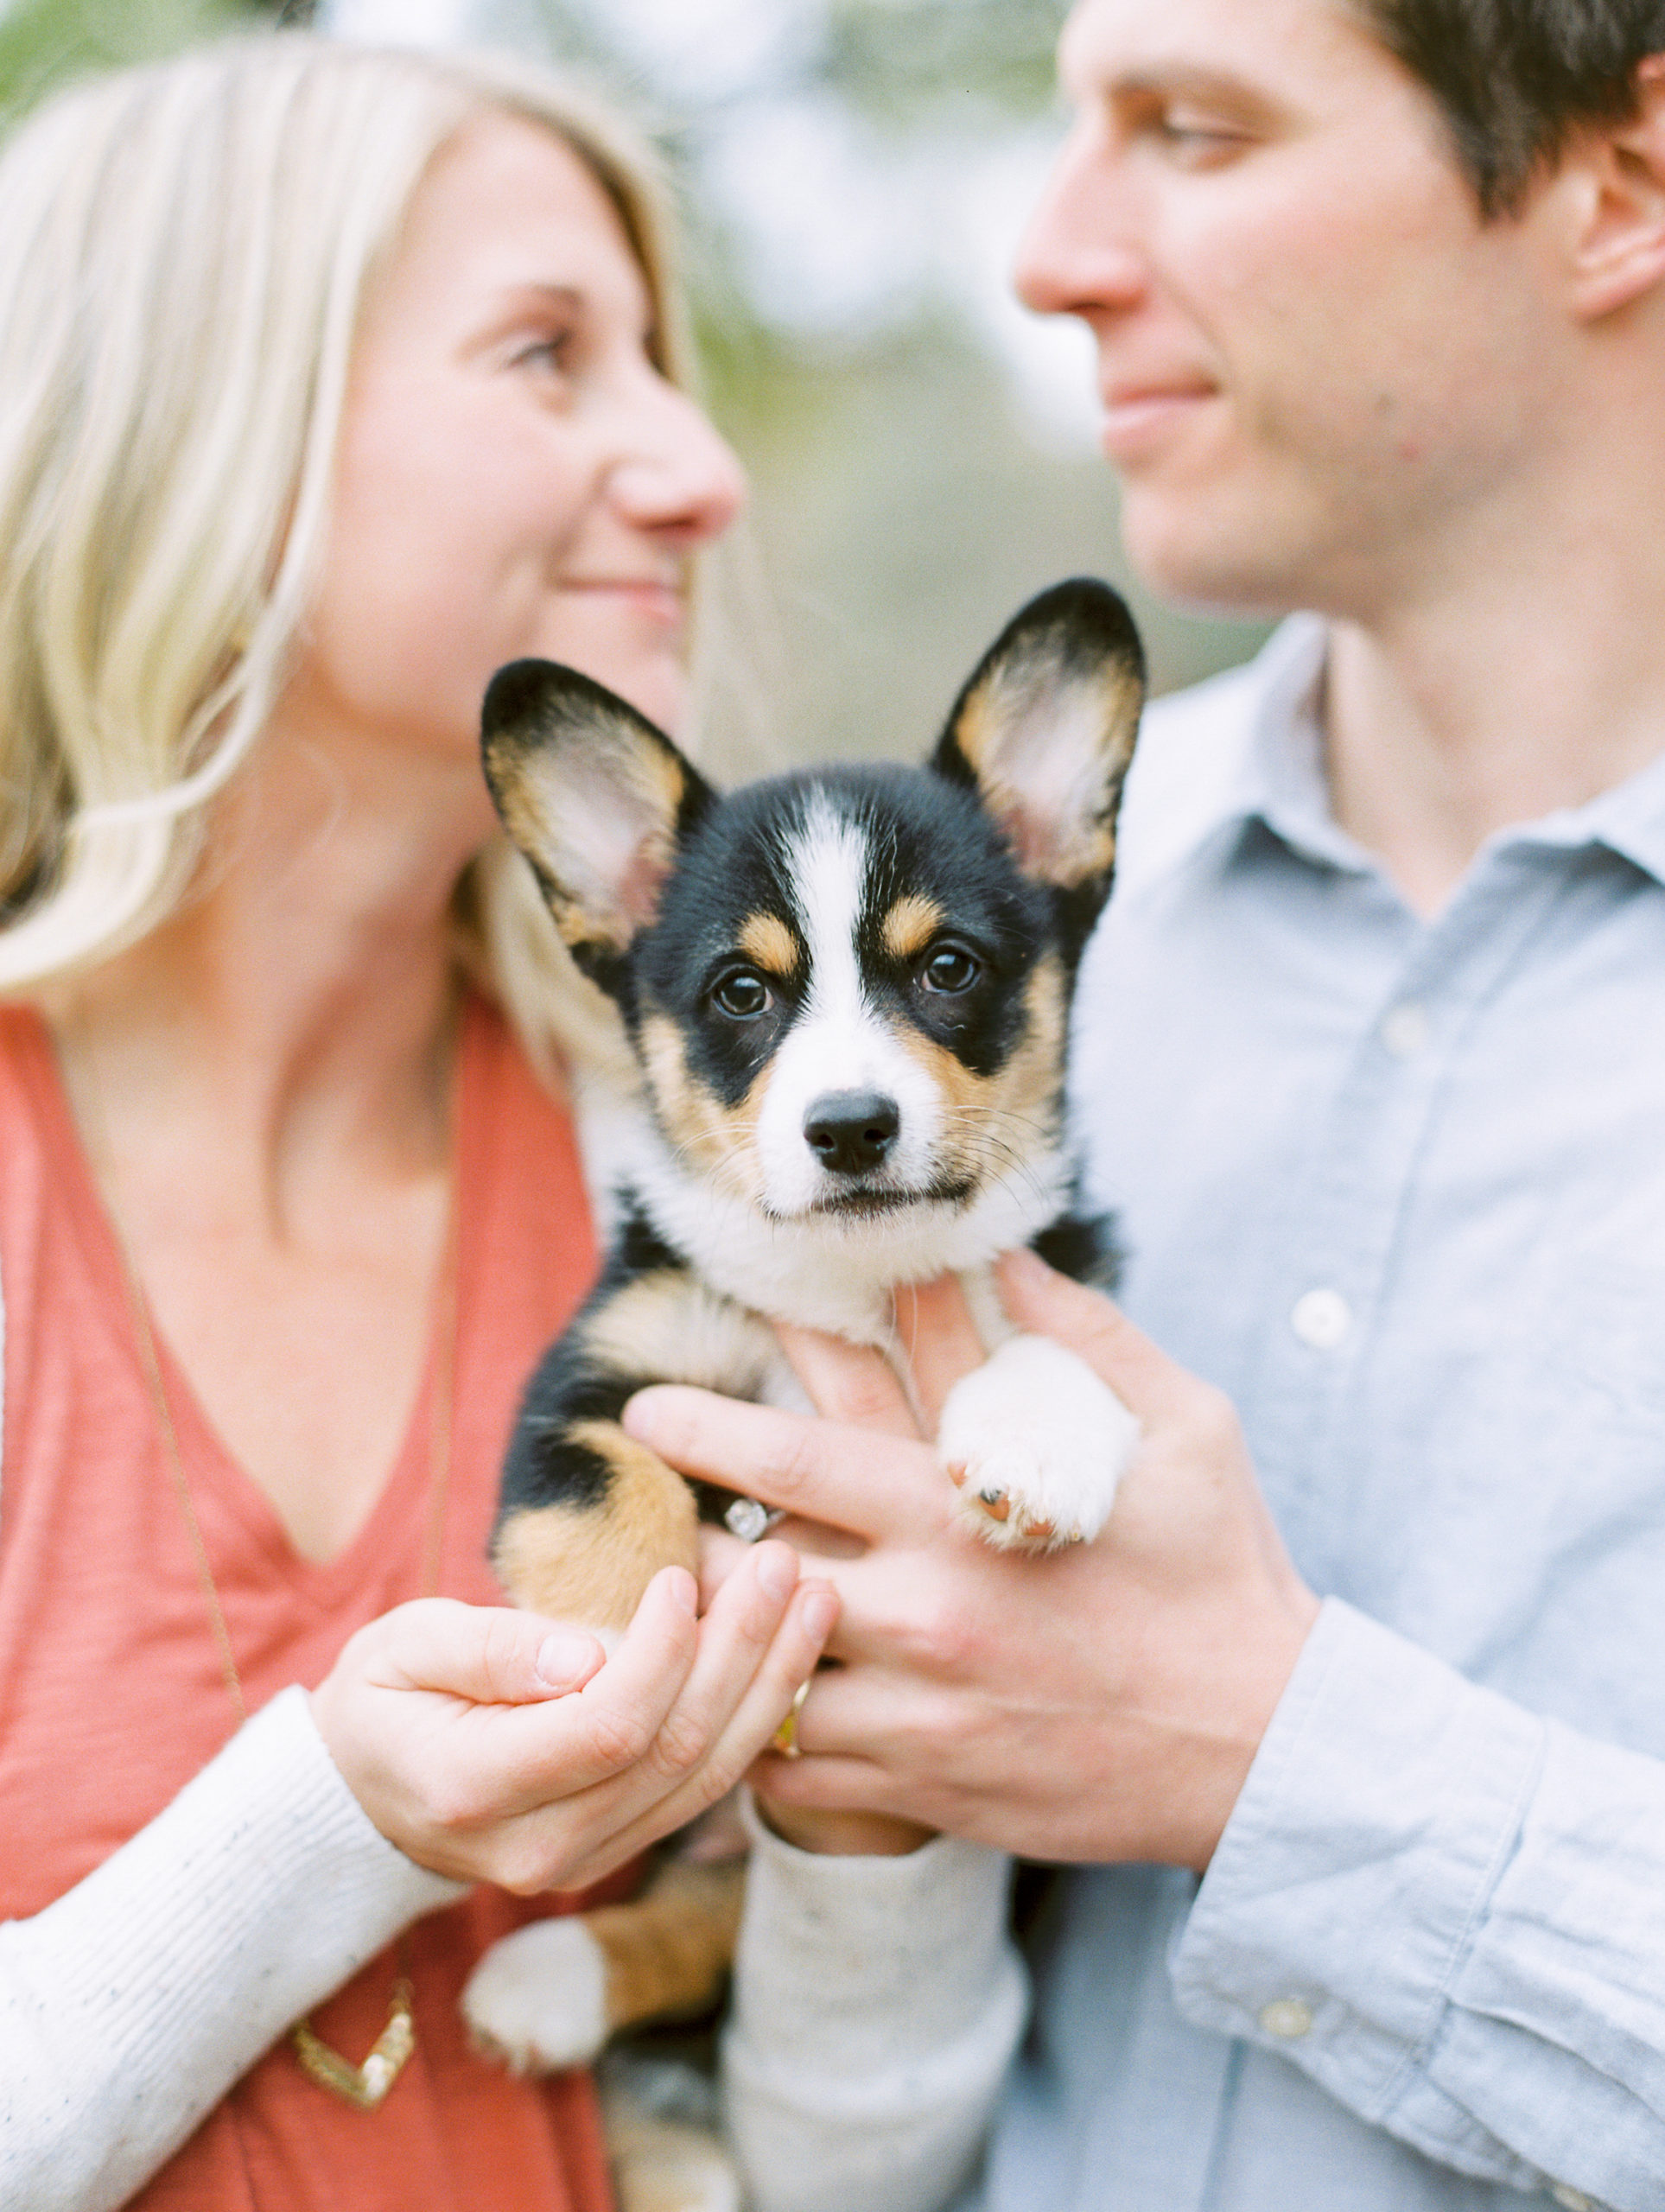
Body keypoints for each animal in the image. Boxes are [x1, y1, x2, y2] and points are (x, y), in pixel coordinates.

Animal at [480, 575, 1141, 1645]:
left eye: (948, 966)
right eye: (741, 991)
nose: (849, 1128)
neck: (857, 1285)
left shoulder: (1080, 1286)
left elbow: (1063, 1345)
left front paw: (1034, 1444)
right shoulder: (587, 1380)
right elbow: (602, 1498)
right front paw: (606, 1652)